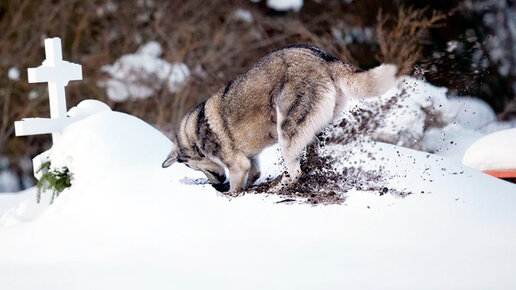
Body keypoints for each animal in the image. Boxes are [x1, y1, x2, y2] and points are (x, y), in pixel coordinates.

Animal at [163, 43, 398, 193]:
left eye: (193, 166)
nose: (217, 184)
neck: (194, 131)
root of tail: (323, 57)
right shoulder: (250, 160)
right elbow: (254, 174)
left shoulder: (238, 165)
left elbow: (236, 187)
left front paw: (230, 194)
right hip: (312, 131)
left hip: (287, 130)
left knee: (294, 172)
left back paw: (277, 188)